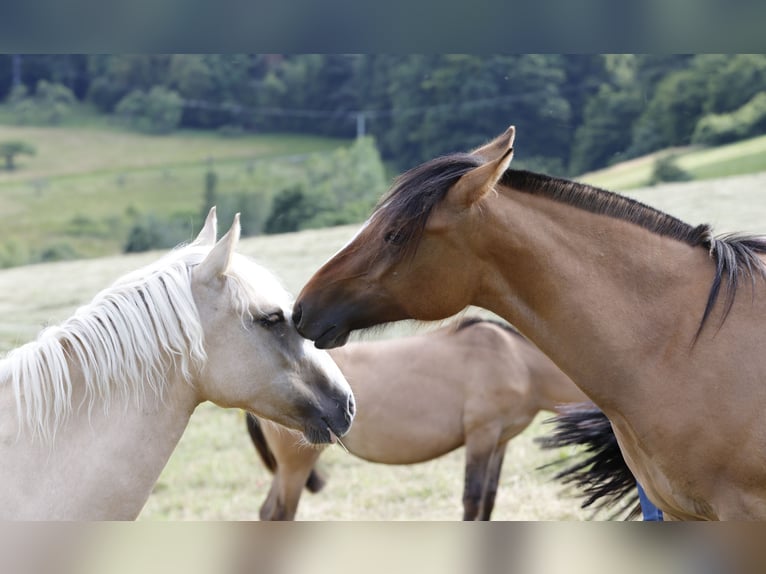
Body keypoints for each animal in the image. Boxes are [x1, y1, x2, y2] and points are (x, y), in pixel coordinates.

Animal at [246, 320, 588, 520]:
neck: (516, 361)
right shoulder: (482, 435)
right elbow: (473, 499)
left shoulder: (499, 441)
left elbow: (488, 499)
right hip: (296, 465)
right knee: (280, 514)